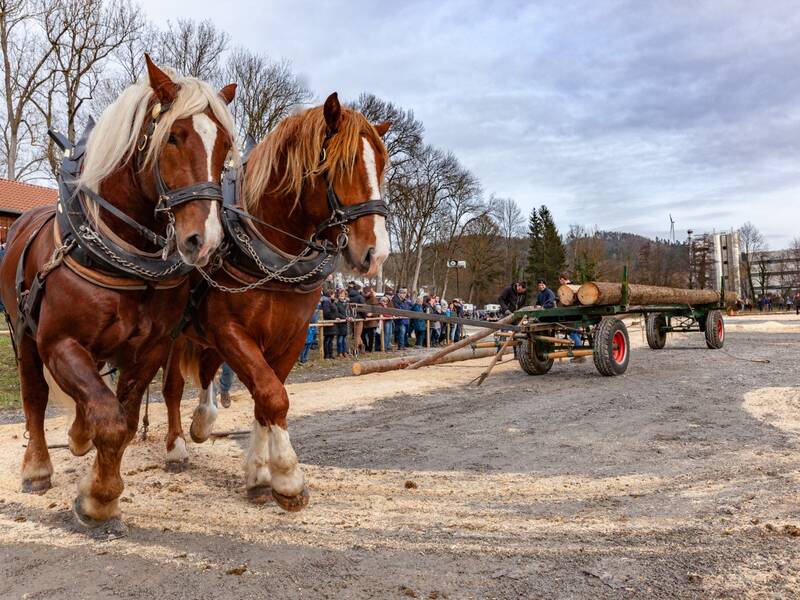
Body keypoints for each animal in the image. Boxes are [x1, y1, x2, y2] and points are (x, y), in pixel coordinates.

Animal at [0, 56, 238, 536]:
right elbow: (108, 421)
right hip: (23, 334)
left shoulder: (150, 349)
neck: (124, 257)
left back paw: (77, 436)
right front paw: (99, 501)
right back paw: (37, 468)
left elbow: (123, 421)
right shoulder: (59, 342)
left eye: (223, 145)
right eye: (174, 137)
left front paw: (100, 494)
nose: (204, 241)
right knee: (35, 396)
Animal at [161, 94, 390, 510]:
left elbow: (265, 399)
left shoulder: (290, 335)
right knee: (172, 387)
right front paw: (287, 477)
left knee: (205, 372)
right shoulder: (230, 330)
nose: (375, 253)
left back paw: (203, 421)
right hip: (176, 334)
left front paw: (260, 474)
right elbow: (272, 396)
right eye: (343, 164)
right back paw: (176, 449)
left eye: (381, 165)